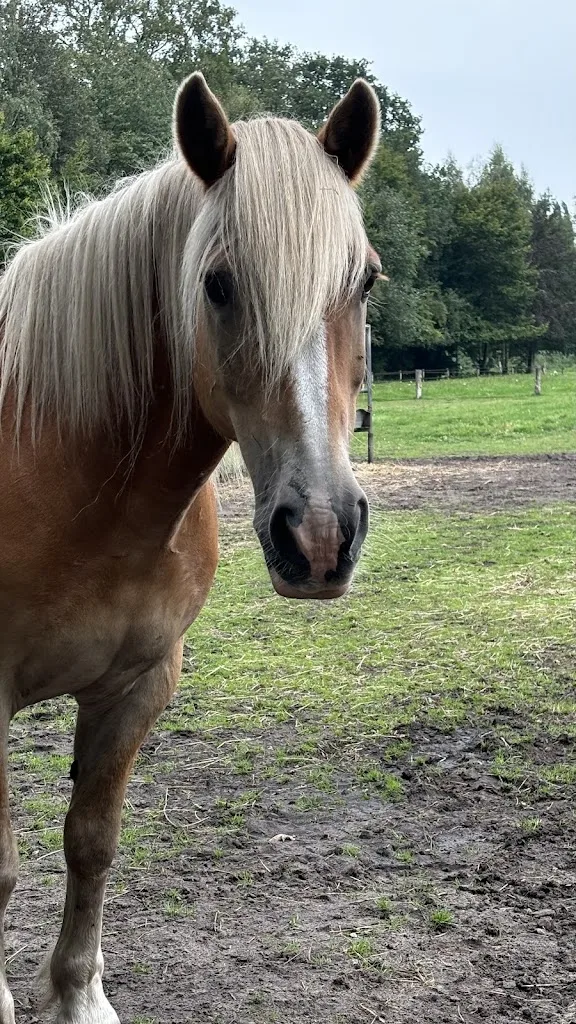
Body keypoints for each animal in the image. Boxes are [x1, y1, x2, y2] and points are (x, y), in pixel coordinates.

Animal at [0, 72, 381, 1022]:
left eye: (364, 280)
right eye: (216, 284)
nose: (320, 534)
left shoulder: (140, 685)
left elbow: (91, 842)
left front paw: (78, 994)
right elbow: (3, 864)